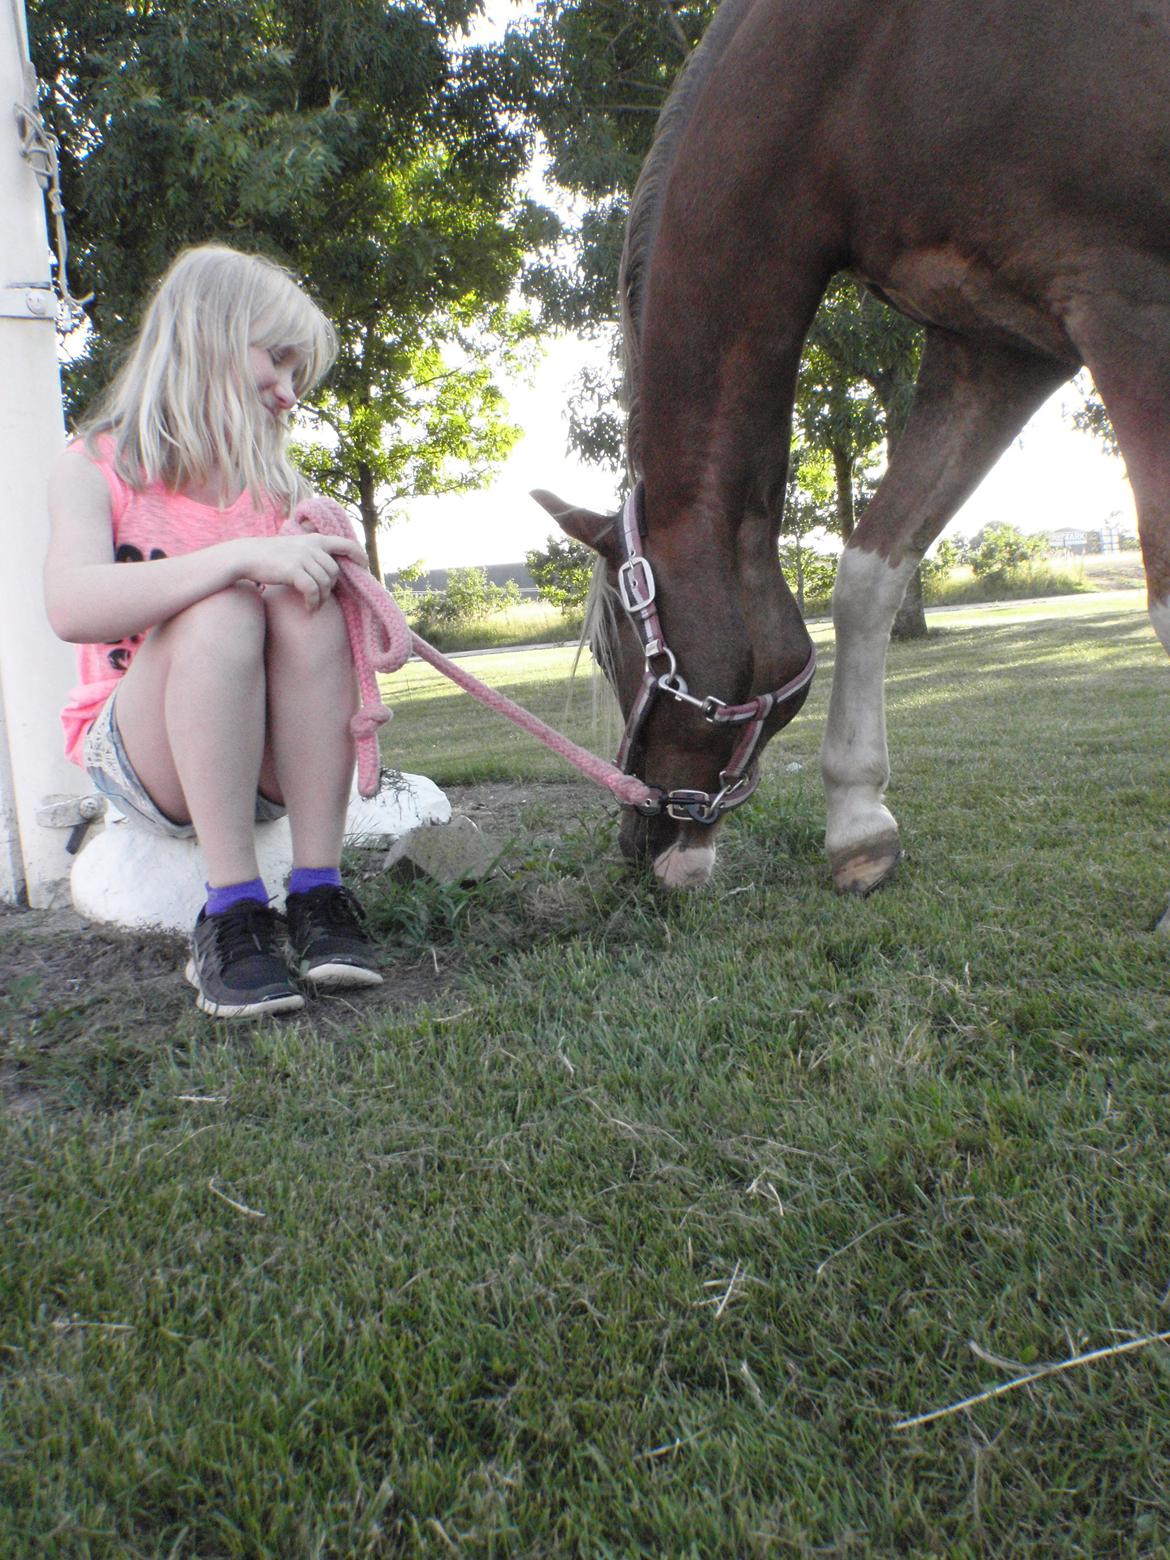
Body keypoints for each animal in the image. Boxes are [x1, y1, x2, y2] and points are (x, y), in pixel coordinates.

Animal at [532, 0, 1170, 894]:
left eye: (613, 652)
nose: (638, 842)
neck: (861, 77)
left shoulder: (1129, 302)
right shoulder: (995, 344)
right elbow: (869, 572)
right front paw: (859, 826)